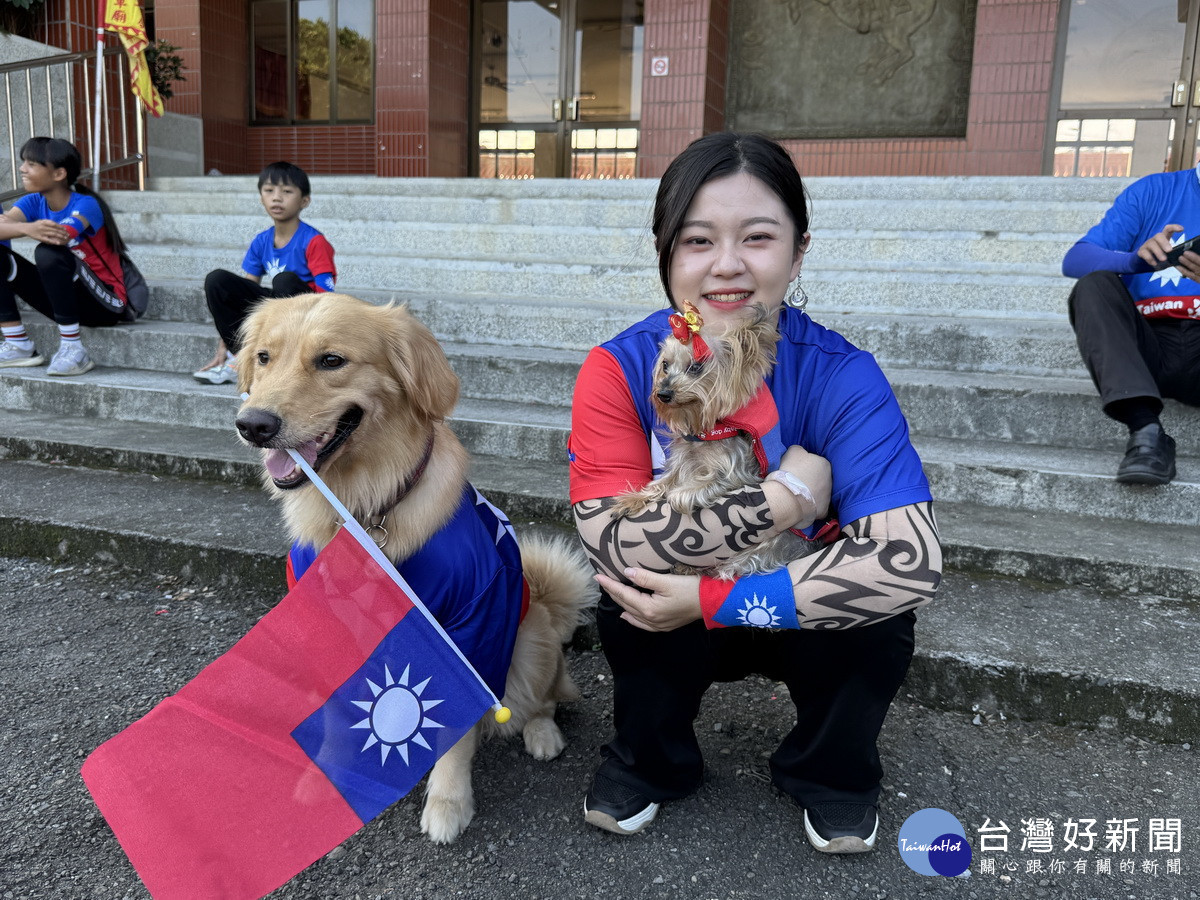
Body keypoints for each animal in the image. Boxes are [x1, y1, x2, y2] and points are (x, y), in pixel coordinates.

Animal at [232, 294, 595, 844]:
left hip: (530, 642)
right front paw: (331, 776)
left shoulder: (470, 620)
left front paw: (448, 802)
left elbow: (454, 729)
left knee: (548, 697)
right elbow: (336, 711)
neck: (364, 509)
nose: (253, 424)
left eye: (331, 361)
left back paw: (542, 732)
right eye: (264, 357)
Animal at [614, 307, 811, 580]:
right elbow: (661, 482)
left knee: (733, 566)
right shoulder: (682, 461)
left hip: (772, 545)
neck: (706, 434)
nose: (663, 394)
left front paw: (682, 493)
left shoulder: (738, 473)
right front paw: (631, 500)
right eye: (665, 365)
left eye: (696, 367)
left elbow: (705, 484)